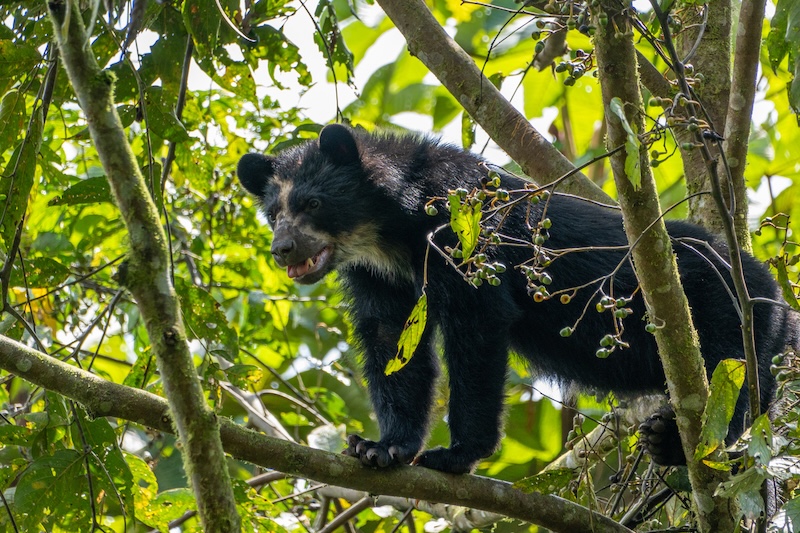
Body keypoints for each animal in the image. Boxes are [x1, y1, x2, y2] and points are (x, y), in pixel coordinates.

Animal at [237, 123, 794, 474]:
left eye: (312, 203)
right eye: (273, 213)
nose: (282, 248)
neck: (392, 232)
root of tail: (779, 298)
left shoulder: (464, 234)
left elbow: (477, 328)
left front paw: (456, 454)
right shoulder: (380, 279)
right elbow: (393, 345)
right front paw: (380, 448)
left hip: (724, 312)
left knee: (731, 383)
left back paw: (675, 443)